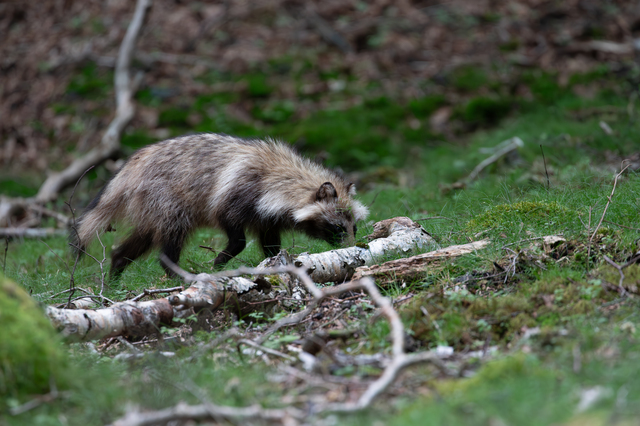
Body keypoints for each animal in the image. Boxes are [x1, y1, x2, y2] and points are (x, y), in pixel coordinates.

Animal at [72, 134, 368, 280]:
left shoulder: (266, 216)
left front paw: (274, 262)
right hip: (167, 200)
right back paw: (174, 272)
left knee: (139, 240)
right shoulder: (239, 193)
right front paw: (221, 260)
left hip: (150, 210)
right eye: (338, 228)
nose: (354, 250)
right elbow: (235, 233)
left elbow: (271, 244)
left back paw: (116, 270)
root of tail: (131, 166)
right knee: (171, 238)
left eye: (354, 227)